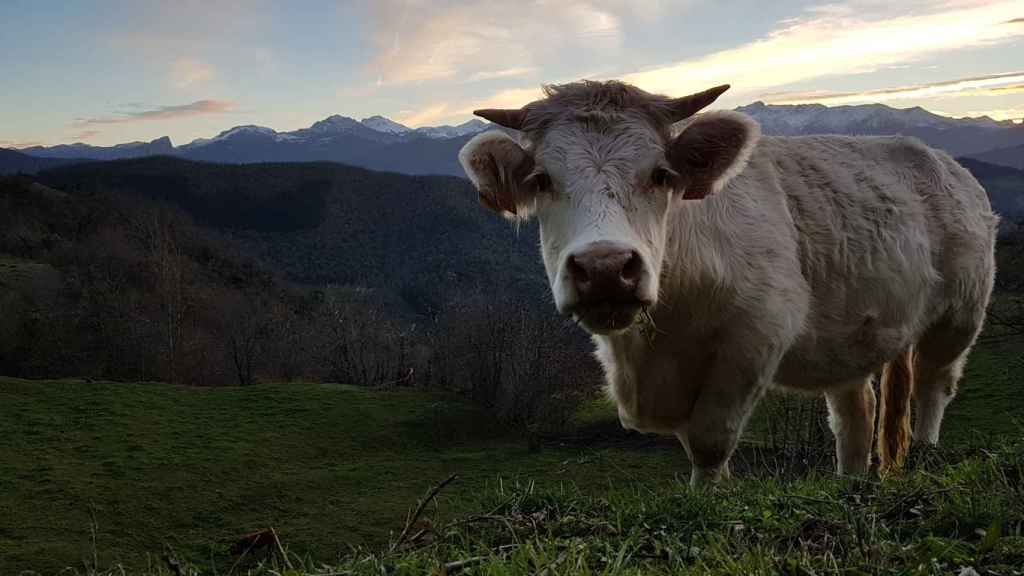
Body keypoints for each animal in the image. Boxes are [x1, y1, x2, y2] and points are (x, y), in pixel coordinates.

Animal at [458, 80, 999, 481]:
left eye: (660, 174)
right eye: (542, 180)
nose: (606, 267)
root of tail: (940, 160)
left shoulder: (754, 338)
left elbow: (710, 442)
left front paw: (705, 499)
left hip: (959, 314)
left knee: (934, 384)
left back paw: (924, 455)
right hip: (854, 334)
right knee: (855, 413)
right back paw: (850, 482)